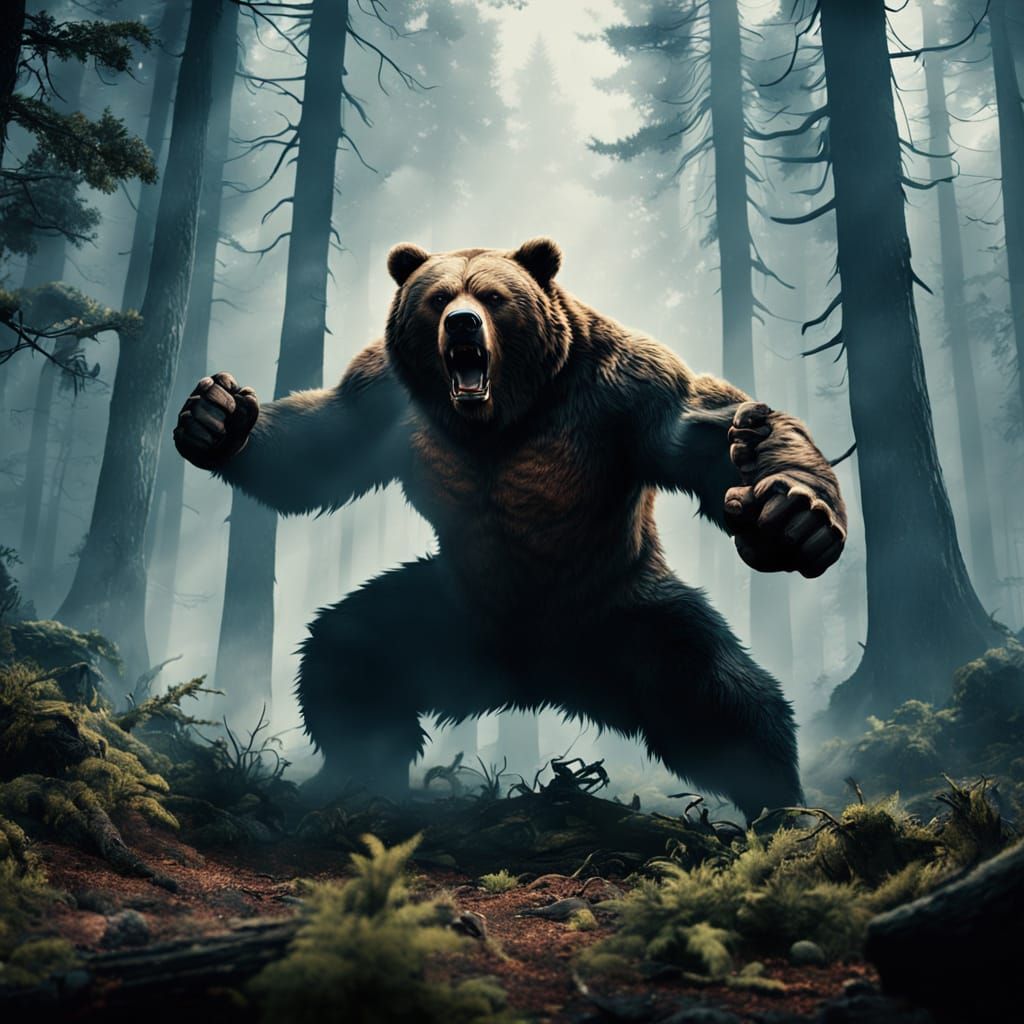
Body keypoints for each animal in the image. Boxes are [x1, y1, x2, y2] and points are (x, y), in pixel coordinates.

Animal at [173, 238, 846, 822]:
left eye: (493, 296)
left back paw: (782, 811)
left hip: (624, 612)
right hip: (446, 618)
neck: (498, 419)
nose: (462, 325)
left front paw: (792, 516)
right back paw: (362, 778)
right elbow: (325, 447)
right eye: (438, 297)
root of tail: (535, 676)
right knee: (347, 657)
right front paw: (218, 415)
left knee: (725, 698)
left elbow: (709, 432)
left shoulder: (621, 393)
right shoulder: (386, 398)